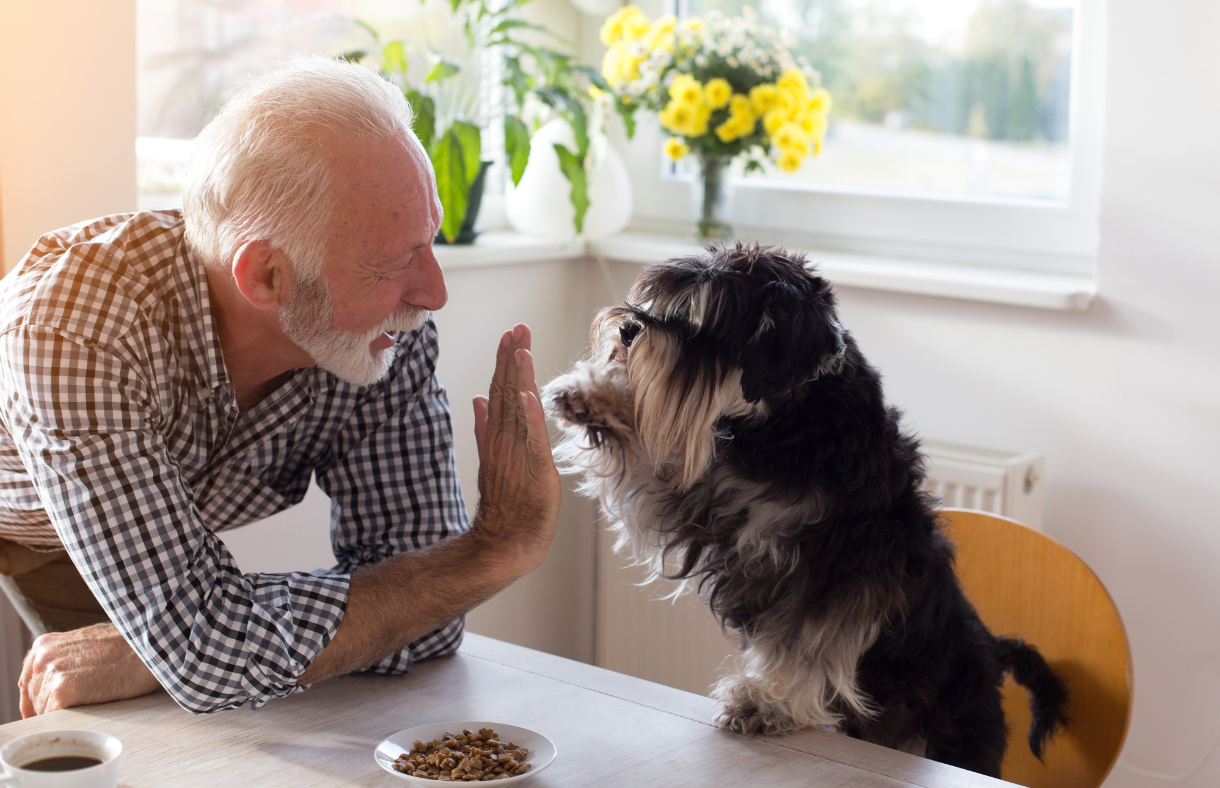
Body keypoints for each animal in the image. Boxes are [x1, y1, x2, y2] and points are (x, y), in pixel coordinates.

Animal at [544, 243, 1068, 775]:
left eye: (706, 322)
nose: (629, 329)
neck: (789, 424)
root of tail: (992, 653)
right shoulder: (706, 503)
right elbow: (651, 461)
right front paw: (593, 396)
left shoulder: (837, 572)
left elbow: (806, 644)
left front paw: (765, 703)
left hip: (954, 735)